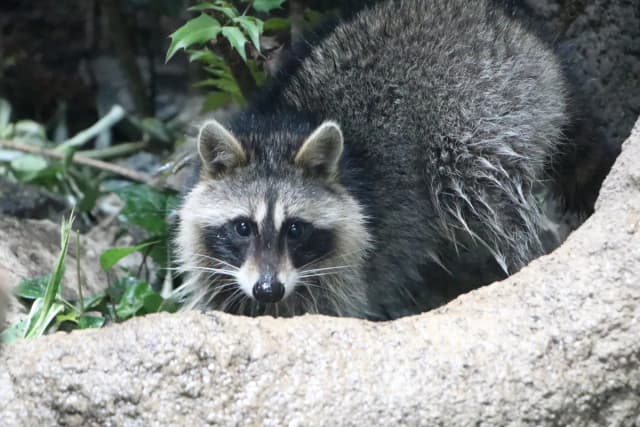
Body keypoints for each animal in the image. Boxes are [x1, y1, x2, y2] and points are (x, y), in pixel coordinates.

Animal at [175, 0, 569, 319]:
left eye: (295, 229)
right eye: (243, 227)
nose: (268, 290)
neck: (277, 130)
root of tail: (507, 15)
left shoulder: (346, 274)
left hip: (485, 112)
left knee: (487, 199)